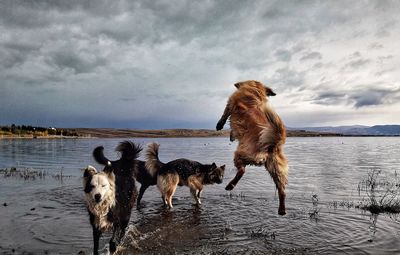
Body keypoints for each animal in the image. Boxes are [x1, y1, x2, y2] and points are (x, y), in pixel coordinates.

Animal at [216, 80, 288, 215]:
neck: (255, 91)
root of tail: (271, 145)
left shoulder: (231, 102)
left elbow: (225, 113)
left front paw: (220, 125)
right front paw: (231, 135)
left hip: (240, 154)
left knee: (242, 171)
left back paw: (230, 186)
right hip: (277, 169)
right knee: (282, 190)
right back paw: (282, 209)